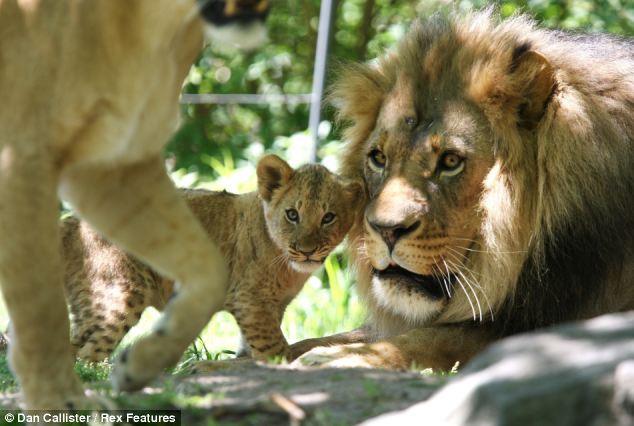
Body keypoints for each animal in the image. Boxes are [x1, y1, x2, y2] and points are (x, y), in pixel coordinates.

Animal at [0, 0, 266, 410]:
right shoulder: (20, 161)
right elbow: (40, 306)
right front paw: (61, 403)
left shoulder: (114, 164)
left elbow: (209, 267)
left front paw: (141, 362)